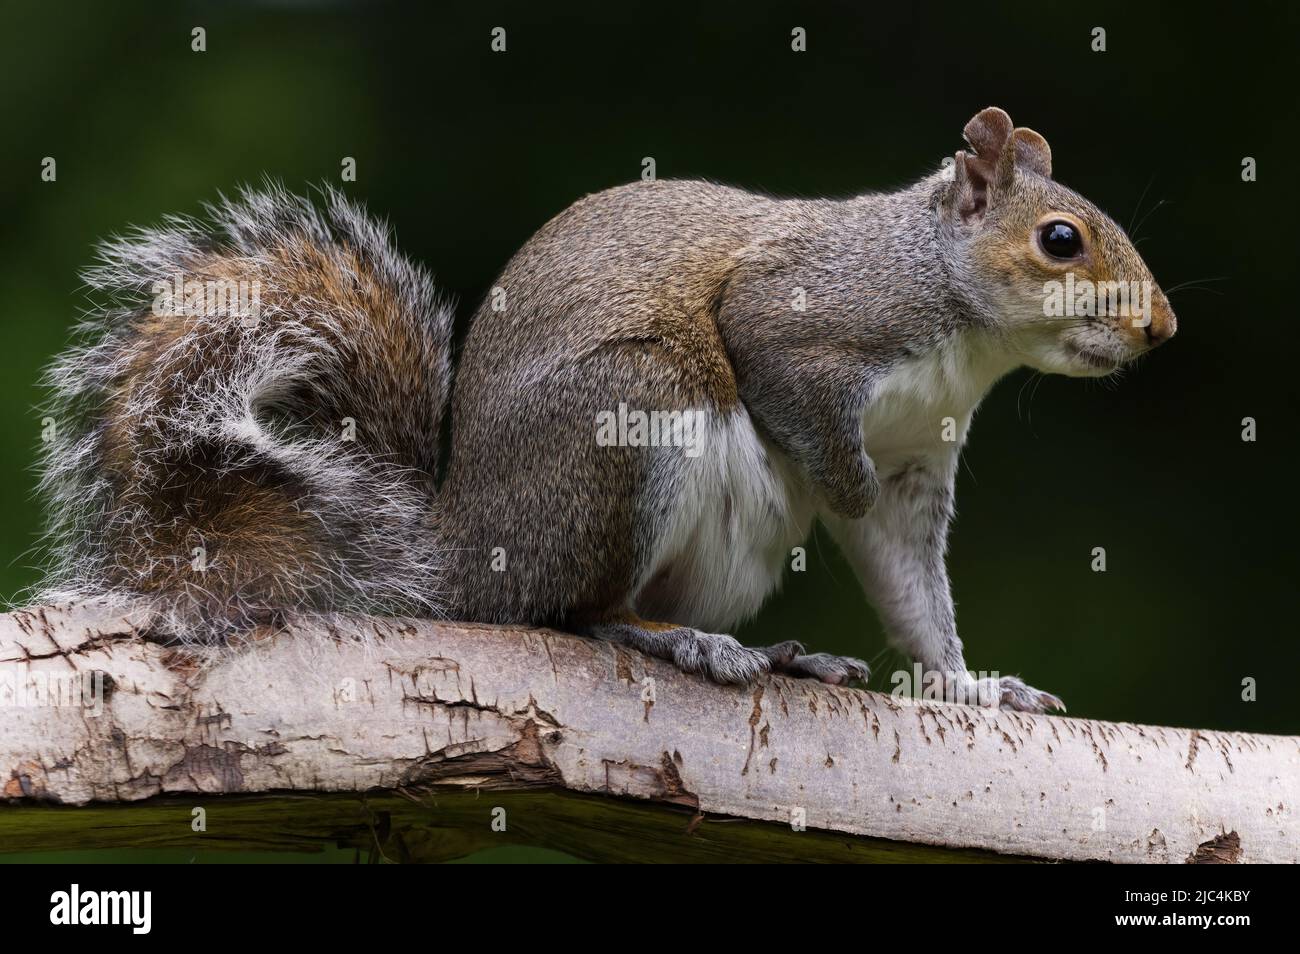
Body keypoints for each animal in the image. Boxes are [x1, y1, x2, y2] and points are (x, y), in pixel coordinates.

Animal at [33, 107, 1175, 712]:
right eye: (1061, 240)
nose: (1160, 328)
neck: (961, 335)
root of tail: (462, 554)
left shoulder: (915, 469)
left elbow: (913, 595)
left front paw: (974, 686)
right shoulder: (803, 319)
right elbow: (783, 386)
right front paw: (828, 481)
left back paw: (782, 652)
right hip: (631, 418)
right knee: (577, 612)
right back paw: (678, 643)